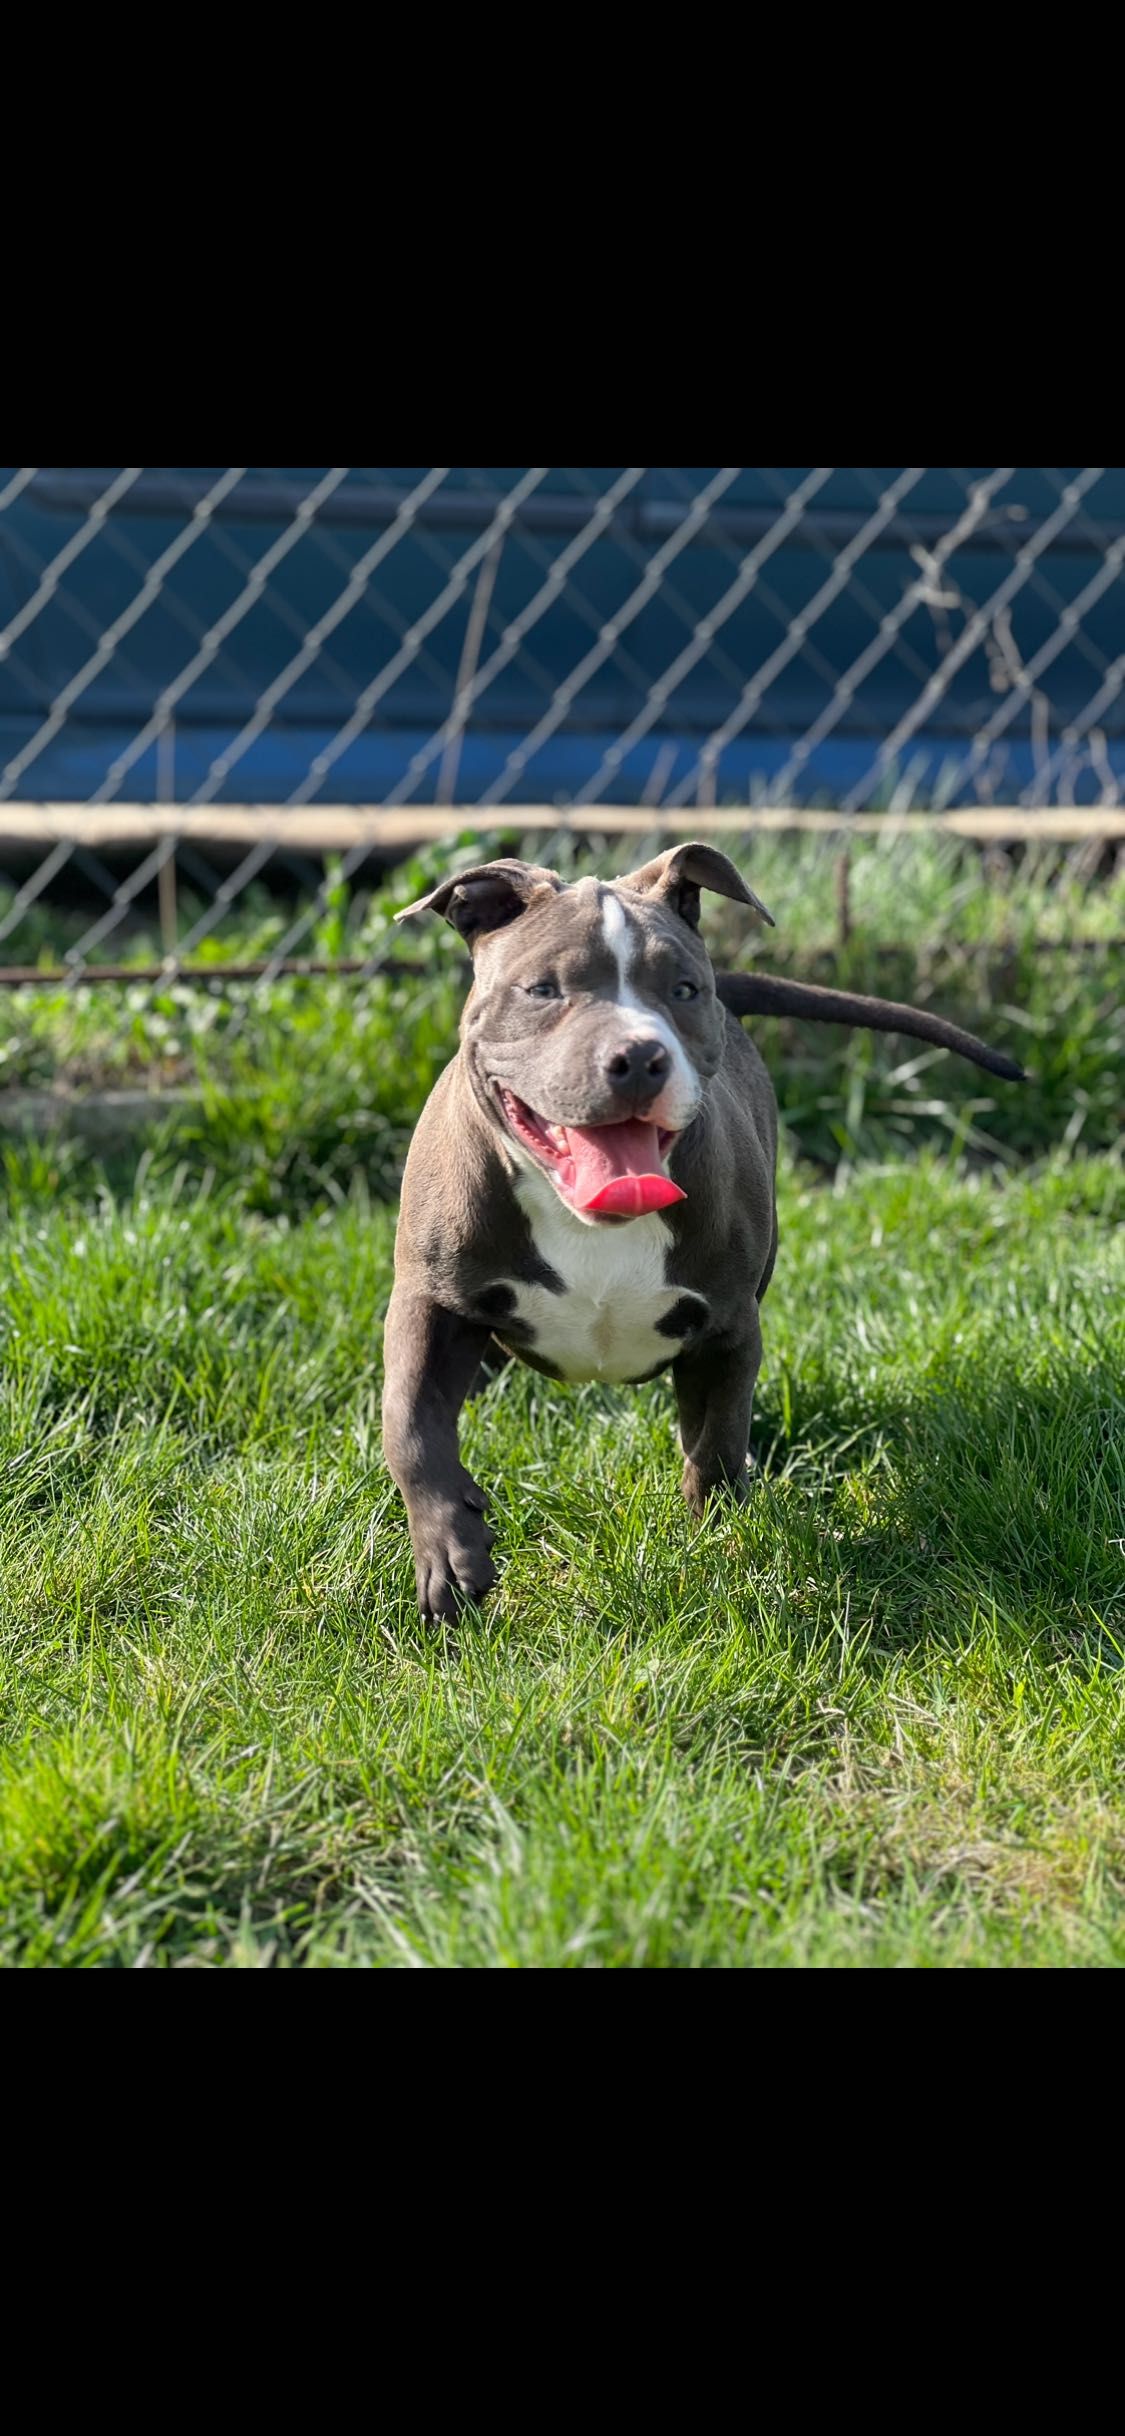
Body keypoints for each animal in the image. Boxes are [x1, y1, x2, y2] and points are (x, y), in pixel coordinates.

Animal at [382, 837, 1022, 1617]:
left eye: (683, 990)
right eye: (543, 990)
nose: (638, 1055)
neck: (589, 1221)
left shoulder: (725, 1328)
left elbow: (715, 1440)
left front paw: (722, 1543)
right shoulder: (430, 1301)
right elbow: (411, 1428)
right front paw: (452, 1554)